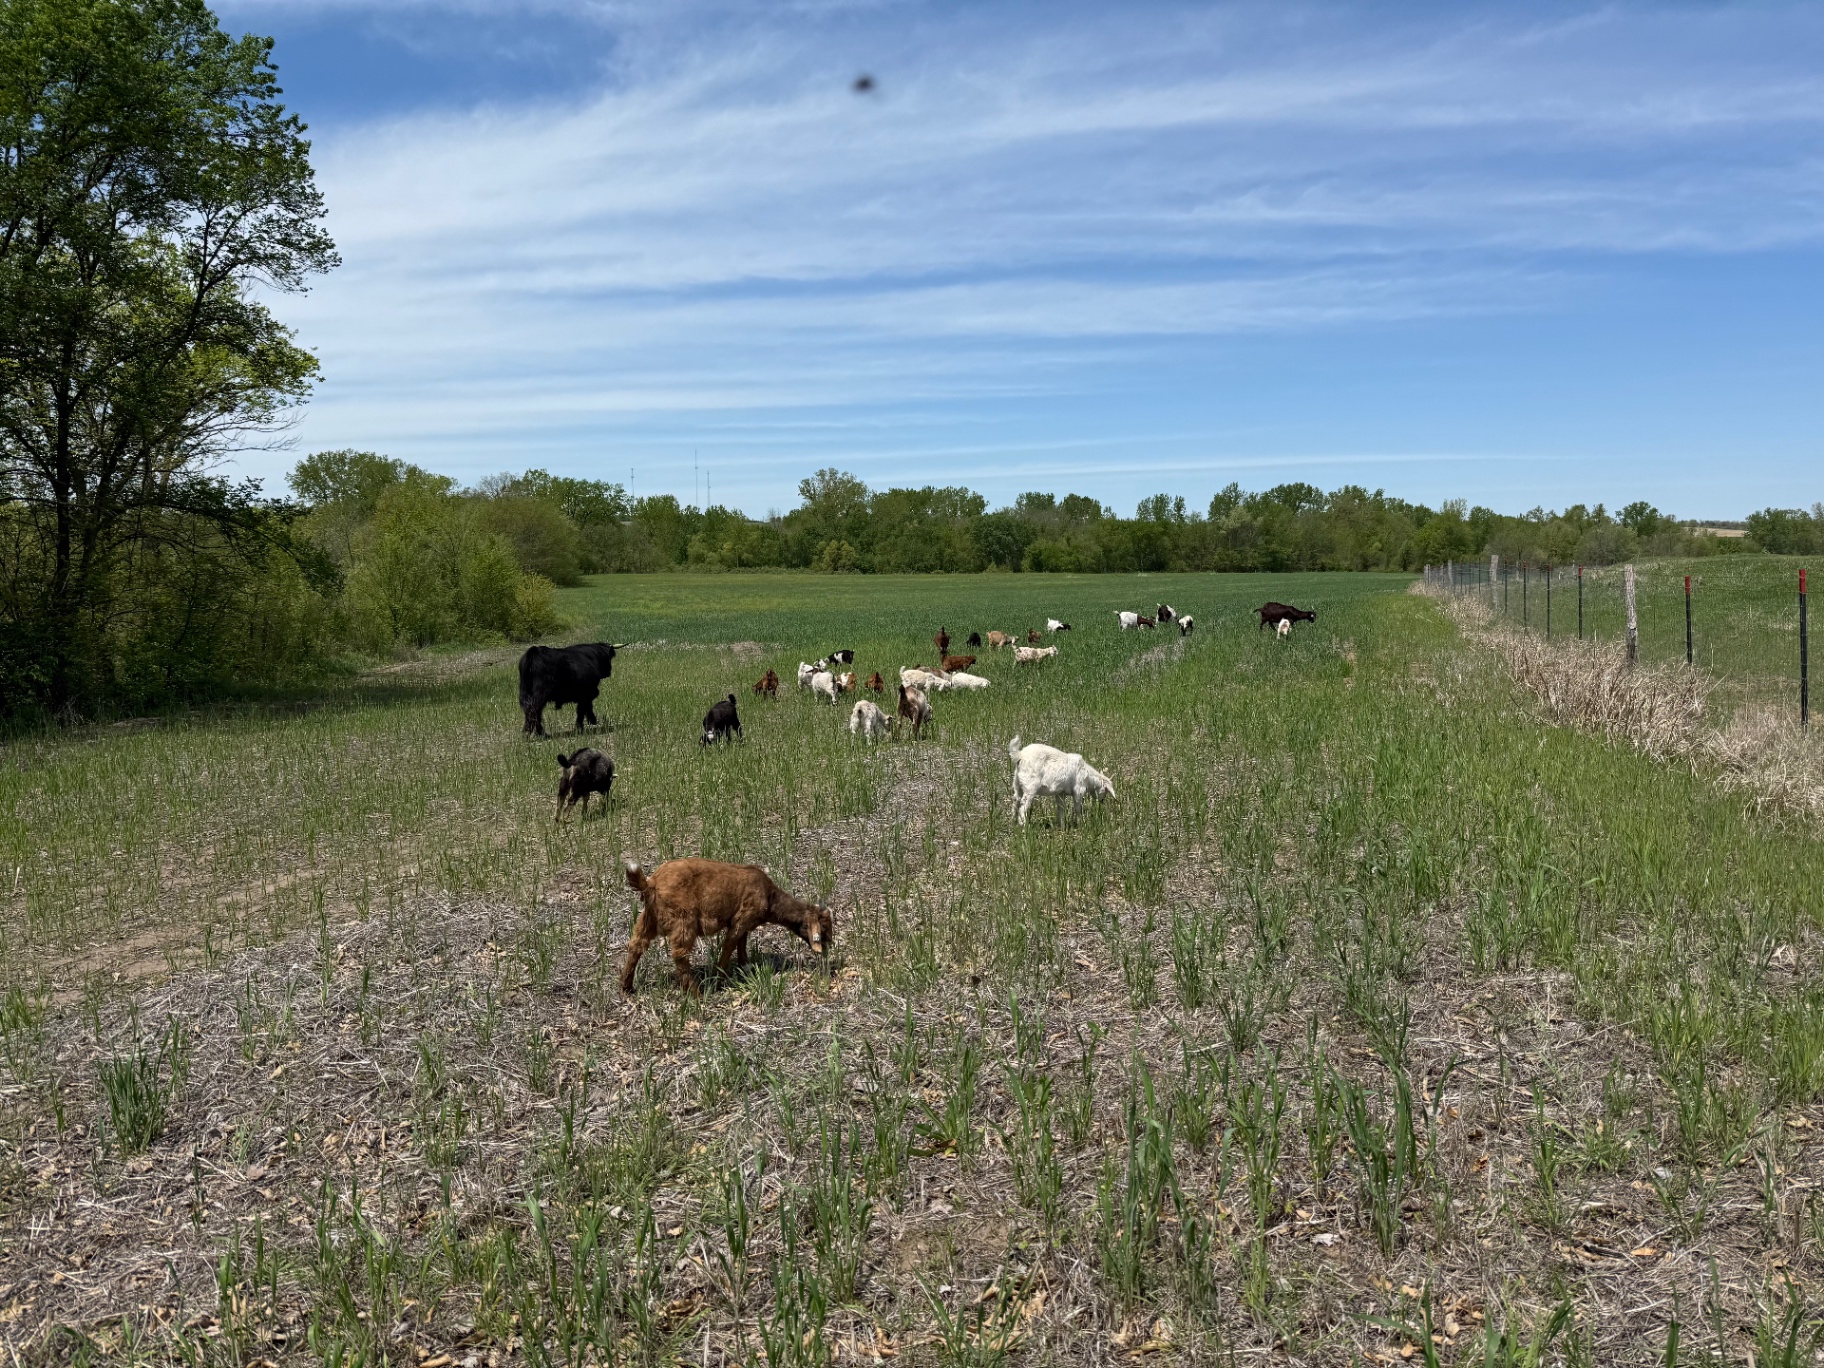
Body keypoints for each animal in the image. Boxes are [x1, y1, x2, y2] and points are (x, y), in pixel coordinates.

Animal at [622, 858, 831, 996]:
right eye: (824, 928)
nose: (828, 947)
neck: (770, 896)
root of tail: (652, 883)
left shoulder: (743, 921)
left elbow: (741, 942)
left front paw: (745, 965)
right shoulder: (743, 916)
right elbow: (730, 944)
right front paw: (718, 979)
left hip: (649, 918)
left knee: (636, 944)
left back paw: (627, 986)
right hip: (683, 918)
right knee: (679, 954)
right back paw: (695, 993)